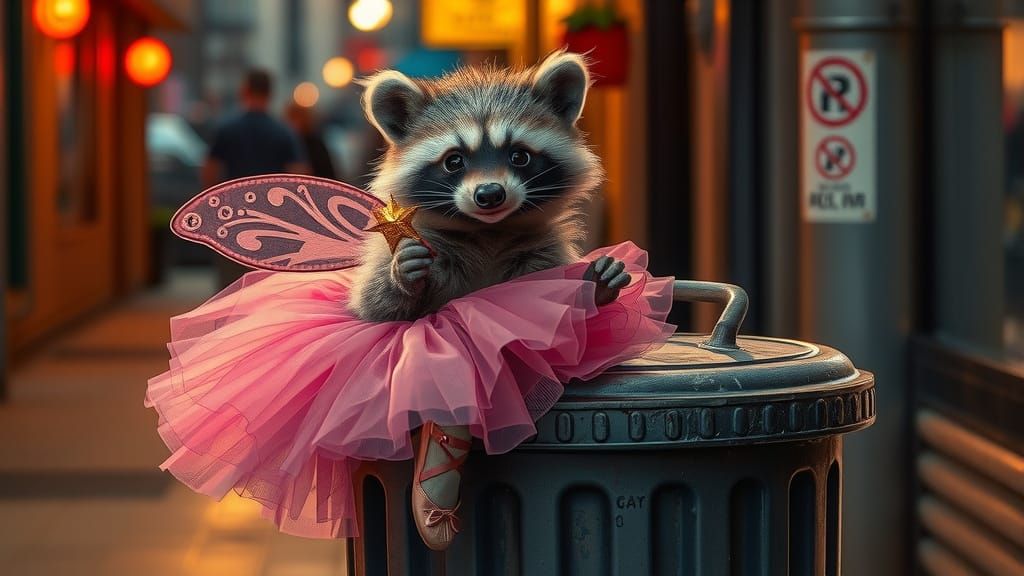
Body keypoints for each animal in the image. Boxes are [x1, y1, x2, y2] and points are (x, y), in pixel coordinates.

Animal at [350, 51, 630, 322]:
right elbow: (375, 308)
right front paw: (400, 276)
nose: (490, 194)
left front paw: (593, 288)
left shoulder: (545, 252)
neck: (489, 230)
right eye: (453, 161)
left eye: (519, 156)